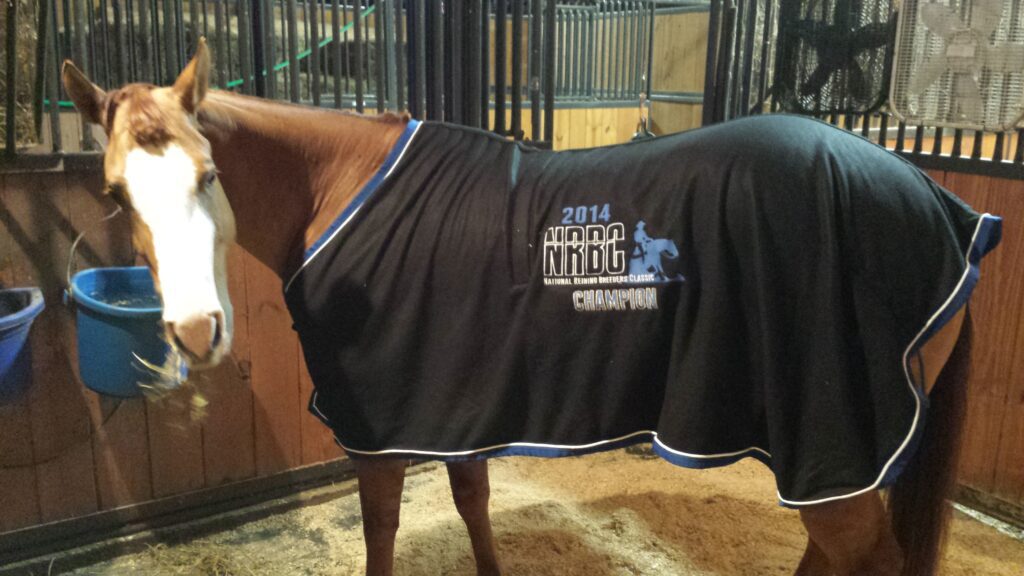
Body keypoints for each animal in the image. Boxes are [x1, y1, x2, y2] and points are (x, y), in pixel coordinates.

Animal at [61, 40, 1000, 576]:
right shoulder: (456, 413)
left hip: (832, 448)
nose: (194, 332)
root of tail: (943, 205)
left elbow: (381, 536)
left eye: (209, 175)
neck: (341, 185)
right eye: (114, 194)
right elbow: (474, 508)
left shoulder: (379, 433)